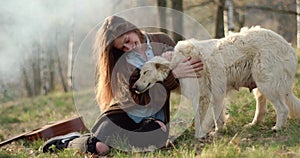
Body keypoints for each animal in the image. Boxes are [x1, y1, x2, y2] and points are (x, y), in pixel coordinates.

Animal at [135, 26, 300, 138]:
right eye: (140, 73)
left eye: (145, 72)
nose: (135, 87)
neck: (176, 63)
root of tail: (288, 46)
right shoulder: (216, 94)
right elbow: (218, 116)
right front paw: (218, 131)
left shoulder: (202, 97)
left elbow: (201, 118)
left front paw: (200, 135)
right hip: (260, 85)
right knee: (263, 107)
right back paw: (253, 124)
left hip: (267, 84)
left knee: (283, 109)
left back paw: (277, 128)